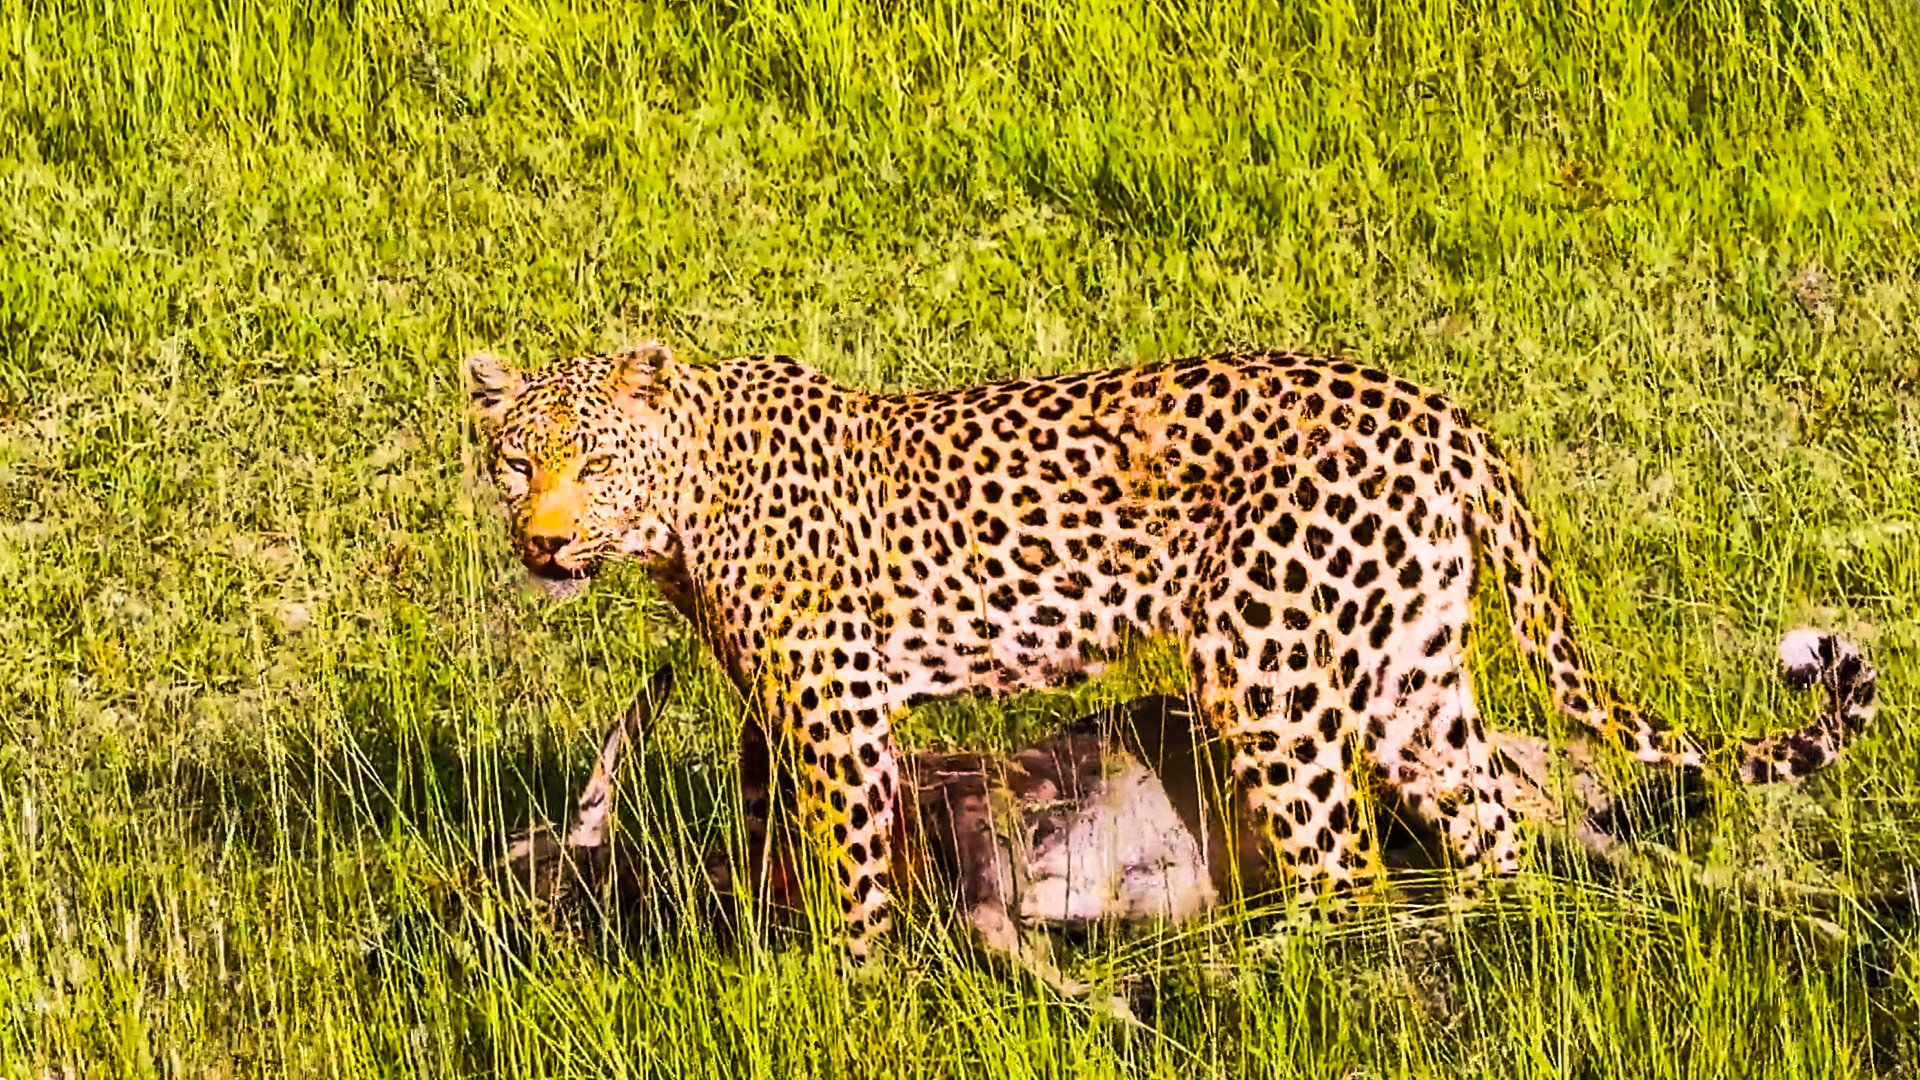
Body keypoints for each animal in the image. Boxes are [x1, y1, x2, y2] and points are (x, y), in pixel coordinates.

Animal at [462, 341, 1879, 954]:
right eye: (515, 462)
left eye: (591, 462)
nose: (541, 541)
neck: (681, 512)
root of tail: (1434, 406)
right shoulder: (781, 707)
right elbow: (778, 842)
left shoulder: (839, 713)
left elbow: (851, 876)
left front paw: (842, 989)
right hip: (1408, 673)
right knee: (1483, 823)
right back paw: (1480, 948)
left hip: (1265, 666)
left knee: (1342, 869)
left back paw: (1272, 976)